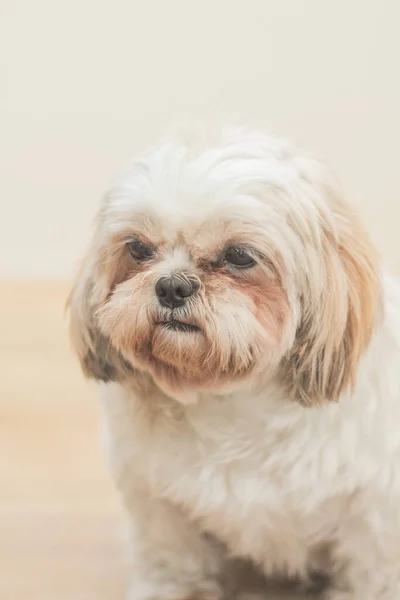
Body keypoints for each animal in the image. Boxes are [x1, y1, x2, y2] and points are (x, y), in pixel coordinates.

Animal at [68, 124, 400, 596]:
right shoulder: (157, 503)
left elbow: (370, 573)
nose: (172, 286)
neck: (234, 402)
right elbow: (173, 558)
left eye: (239, 255)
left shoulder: (374, 513)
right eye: (138, 248)